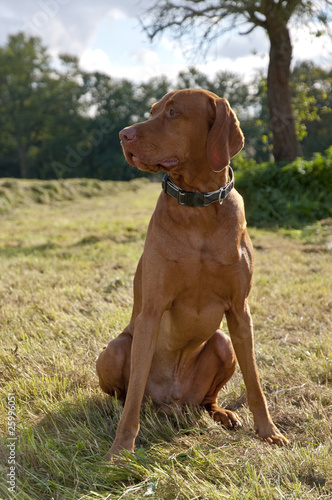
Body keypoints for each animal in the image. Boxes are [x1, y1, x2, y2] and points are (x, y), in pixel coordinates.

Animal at [96, 89, 288, 458]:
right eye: (152, 111)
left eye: (173, 112)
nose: (123, 135)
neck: (198, 205)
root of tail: (172, 402)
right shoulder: (152, 310)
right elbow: (133, 394)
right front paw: (121, 447)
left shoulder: (239, 310)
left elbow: (255, 382)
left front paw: (268, 431)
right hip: (114, 350)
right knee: (127, 395)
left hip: (223, 345)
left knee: (206, 399)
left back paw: (222, 413)